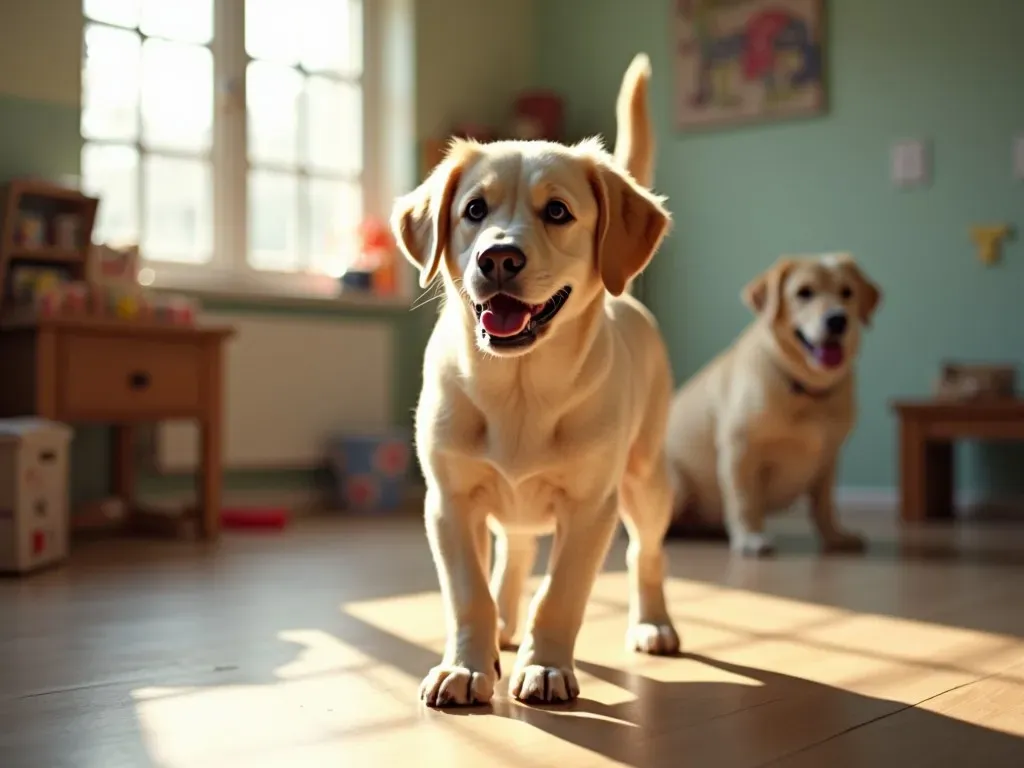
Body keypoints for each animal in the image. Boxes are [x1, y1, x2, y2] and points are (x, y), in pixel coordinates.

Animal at [391, 57, 679, 708]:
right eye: (475, 210)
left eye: (558, 212)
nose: (498, 258)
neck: (519, 390)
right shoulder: (448, 501)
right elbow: (468, 592)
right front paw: (465, 667)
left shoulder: (591, 508)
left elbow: (562, 594)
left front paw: (545, 666)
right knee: (516, 554)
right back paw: (503, 625)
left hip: (644, 479)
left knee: (646, 554)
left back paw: (654, 624)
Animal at [663, 256, 880, 557]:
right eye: (804, 292)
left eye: (847, 292)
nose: (838, 320)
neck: (806, 389)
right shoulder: (740, 451)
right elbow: (745, 502)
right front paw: (750, 537)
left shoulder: (829, 458)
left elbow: (825, 506)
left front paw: (836, 537)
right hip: (677, 484)